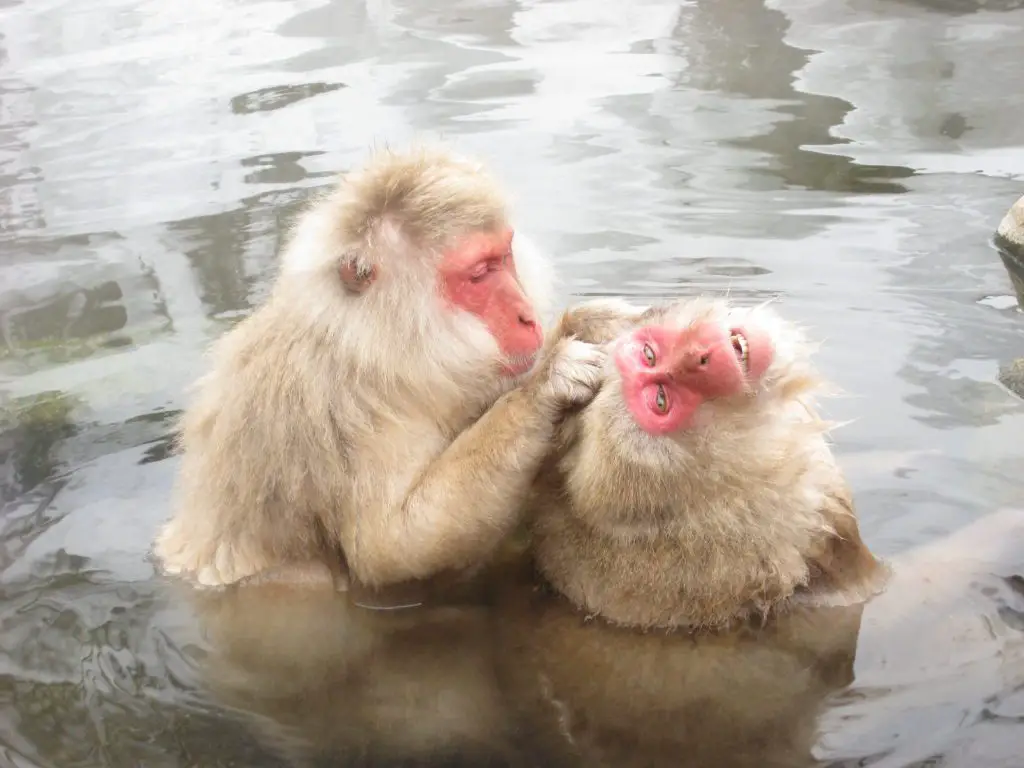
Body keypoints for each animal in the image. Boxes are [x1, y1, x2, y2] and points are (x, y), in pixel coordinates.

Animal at [152, 144, 602, 589]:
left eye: (503, 256)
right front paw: (544, 386)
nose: (527, 316)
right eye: (478, 275)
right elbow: (389, 546)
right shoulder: (345, 410)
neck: (373, 343)